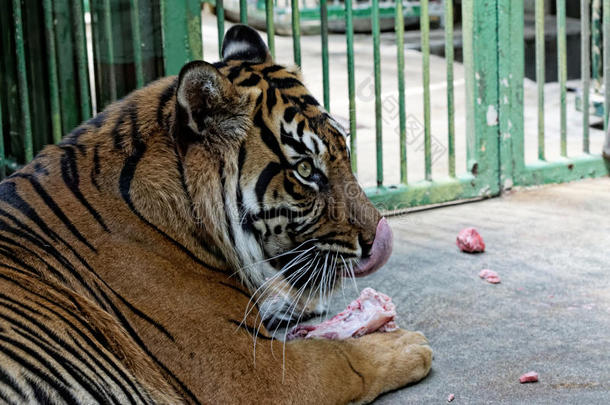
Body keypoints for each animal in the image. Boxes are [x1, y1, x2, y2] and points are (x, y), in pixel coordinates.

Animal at [0, 26, 430, 404]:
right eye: (306, 169)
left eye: (345, 151)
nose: (376, 240)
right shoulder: (256, 371)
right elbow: (342, 360)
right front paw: (408, 344)